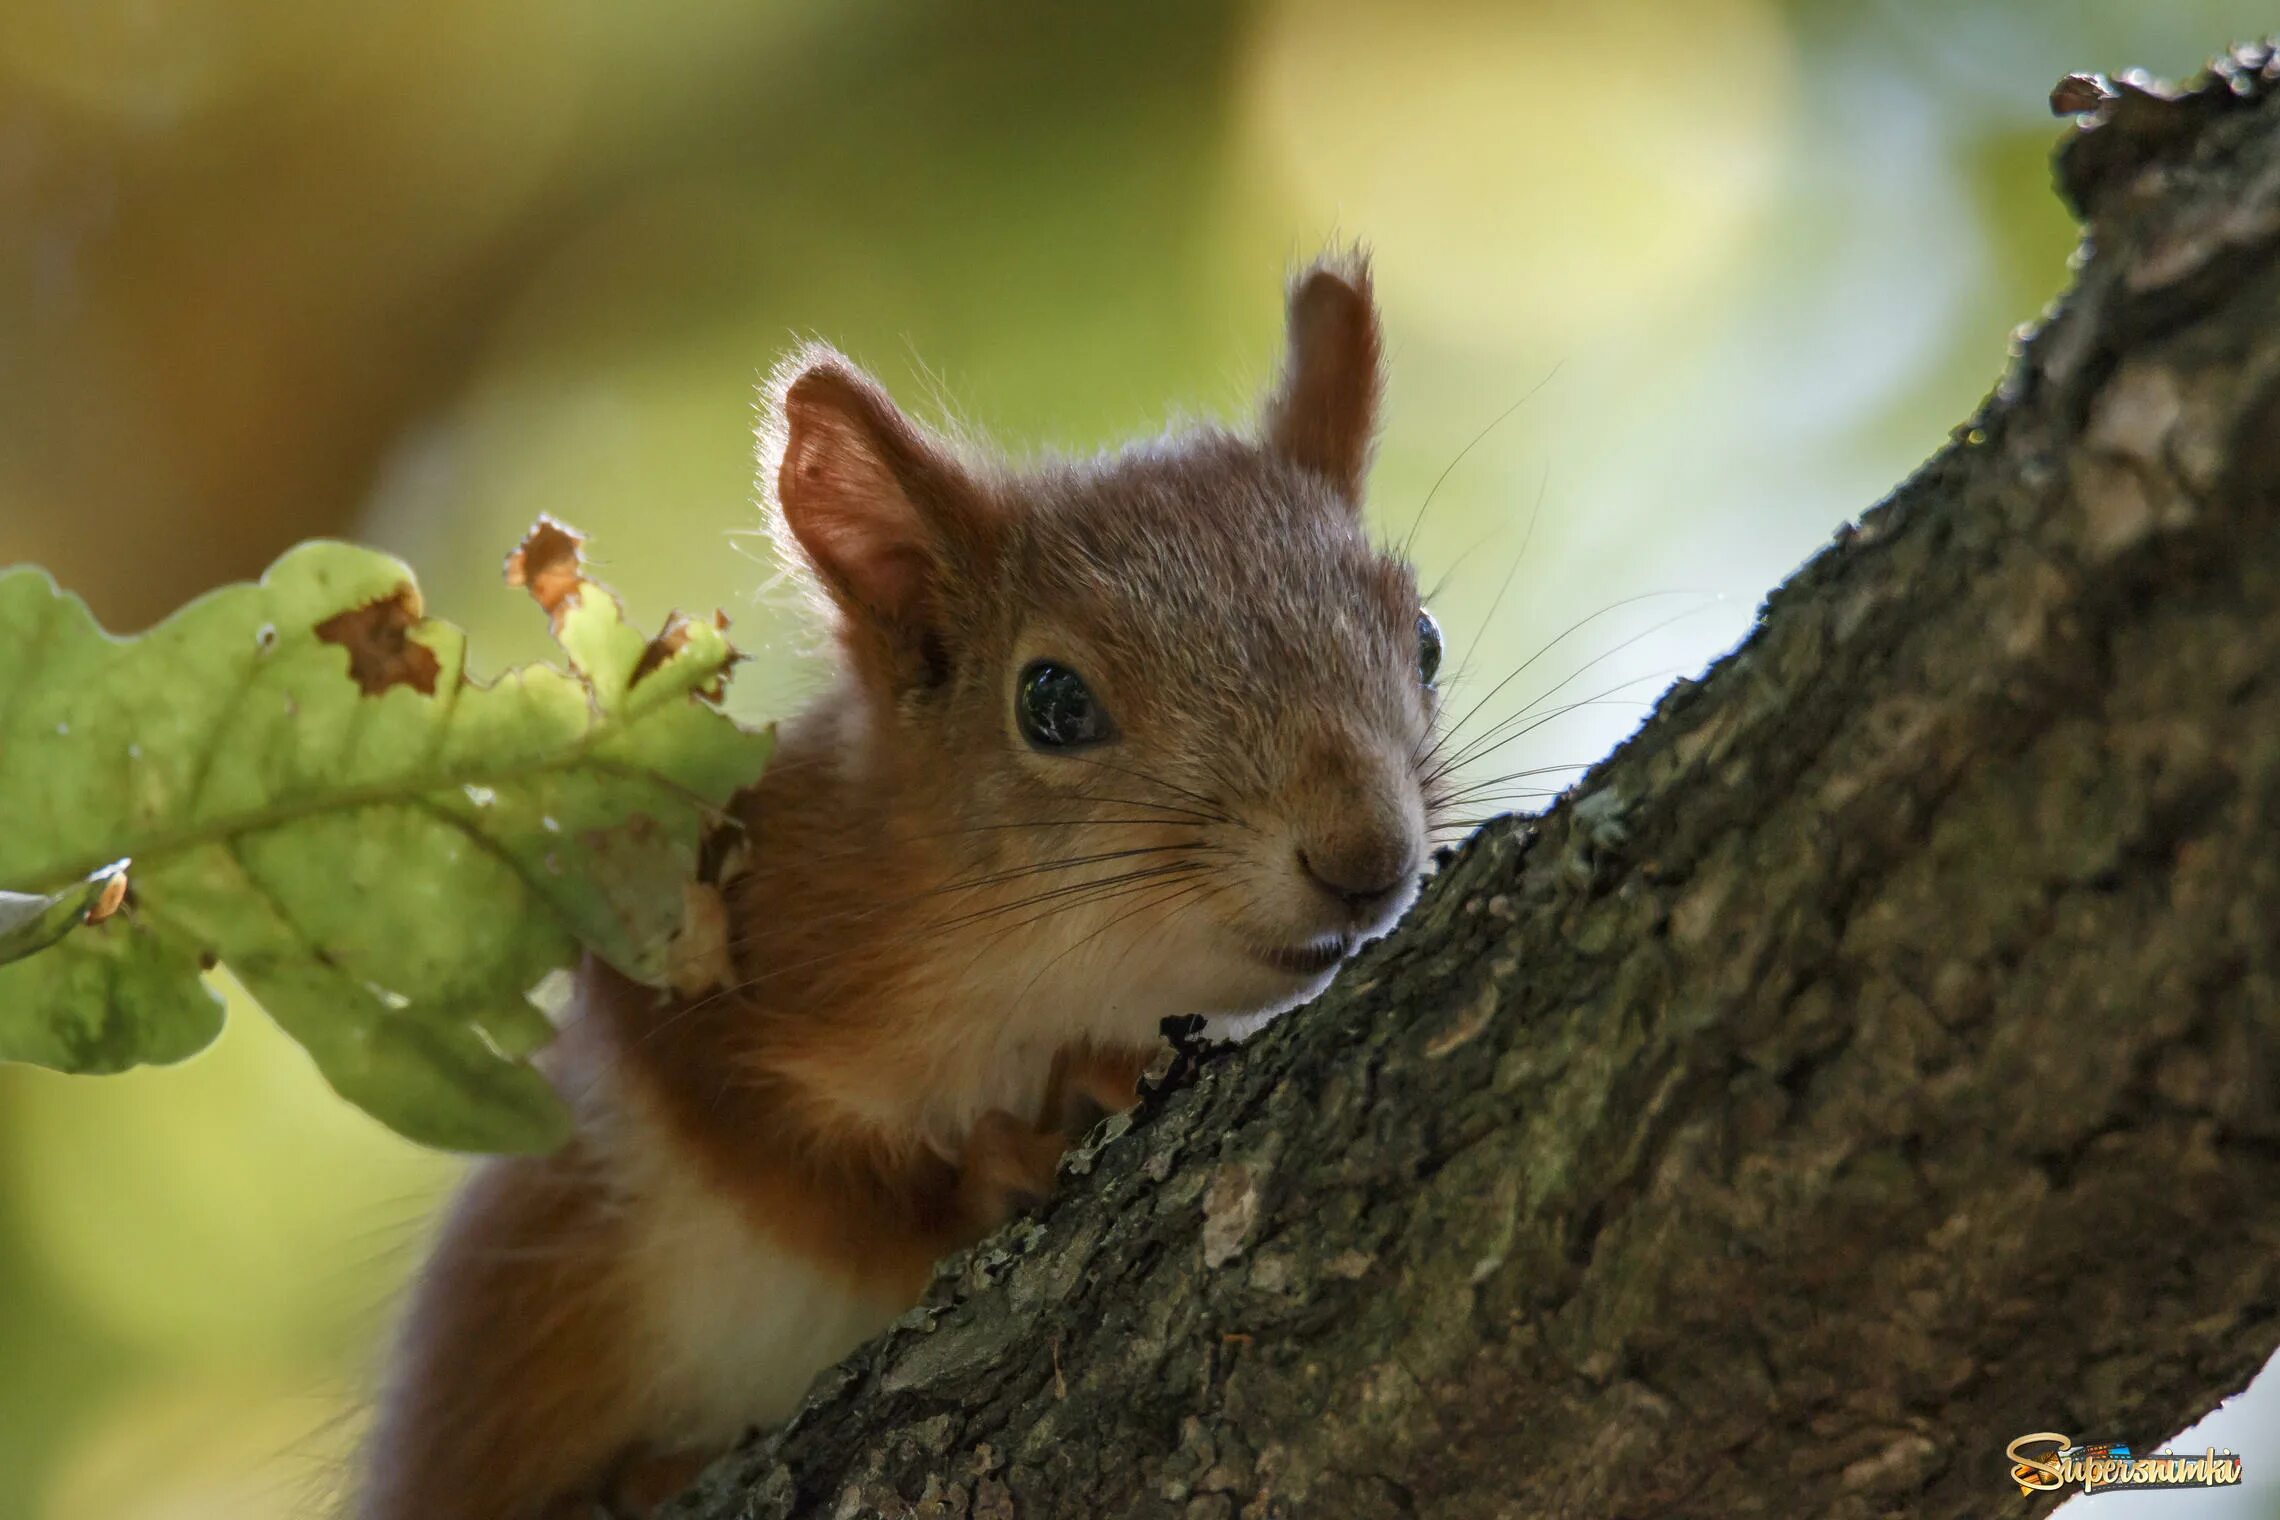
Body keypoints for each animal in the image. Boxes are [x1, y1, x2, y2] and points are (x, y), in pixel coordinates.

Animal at [360, 252, 1440, 1520]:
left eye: (1425, 639)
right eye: (1052, 703)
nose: (1366, 854)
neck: (1030, 973)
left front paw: (1093, 1078)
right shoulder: (711, 935)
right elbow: (790, 1164)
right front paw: (987, 1169)